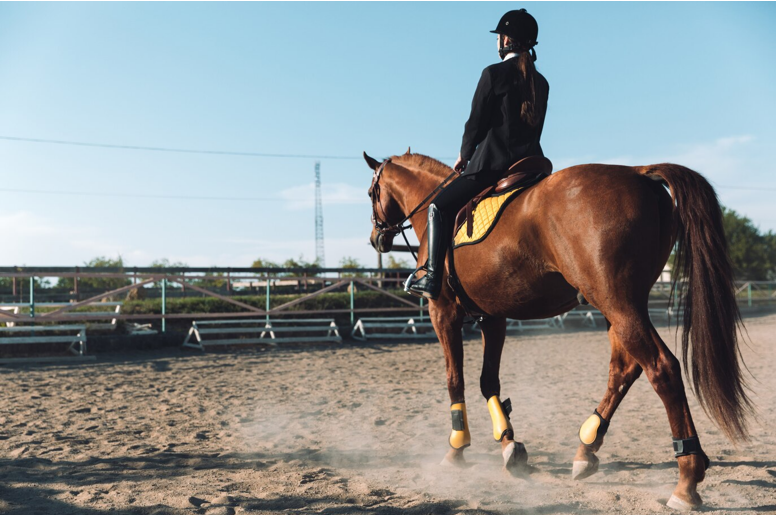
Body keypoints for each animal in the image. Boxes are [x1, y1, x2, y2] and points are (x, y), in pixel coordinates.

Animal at [364, 150, 752, 512]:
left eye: (371, 192)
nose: (375, 239)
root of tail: (637, 172)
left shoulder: (442, 312)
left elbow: (454, 379)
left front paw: (457, 449)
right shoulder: (493, 318)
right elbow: (489, 382)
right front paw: (509, 445)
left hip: (616, 302)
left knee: (662, 368)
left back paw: (686, 481)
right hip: (619, 305)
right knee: (624, 369)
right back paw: (586, 449)